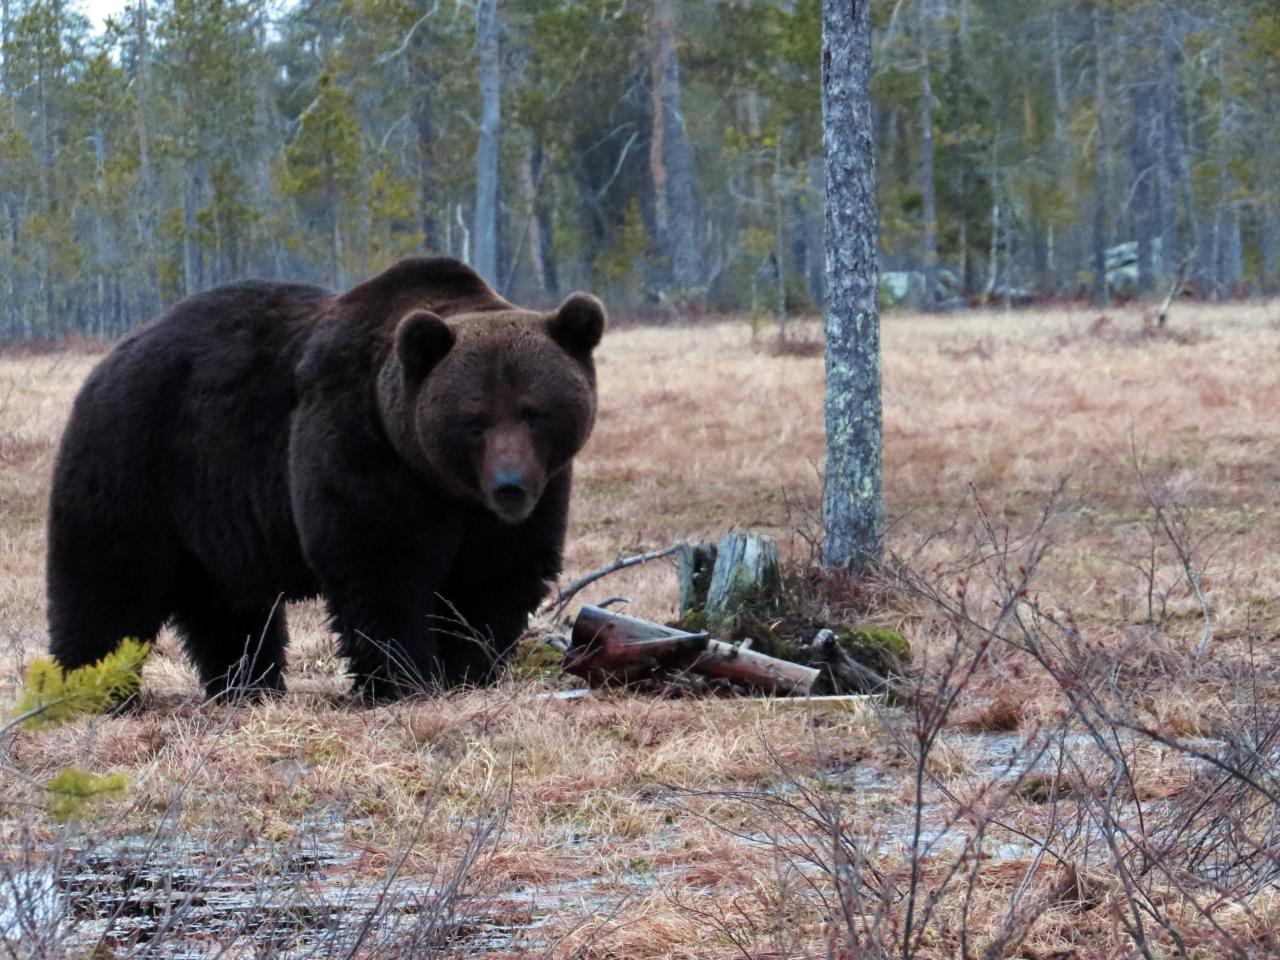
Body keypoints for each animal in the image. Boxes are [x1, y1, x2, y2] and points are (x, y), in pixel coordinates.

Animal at [47, 259, 606, 701]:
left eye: (535, 412)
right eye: (476, 419)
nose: (509, 485)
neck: (444, 483)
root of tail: (111, 358)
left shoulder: (533, 496)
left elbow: (497, 577)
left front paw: (468, 671)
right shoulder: (358, 446)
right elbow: (380, 568)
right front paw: (403, 680)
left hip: (210, 513)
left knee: (228, 608)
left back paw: (248, 685)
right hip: (137, 465)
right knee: (107, 584)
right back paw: (91, 687)